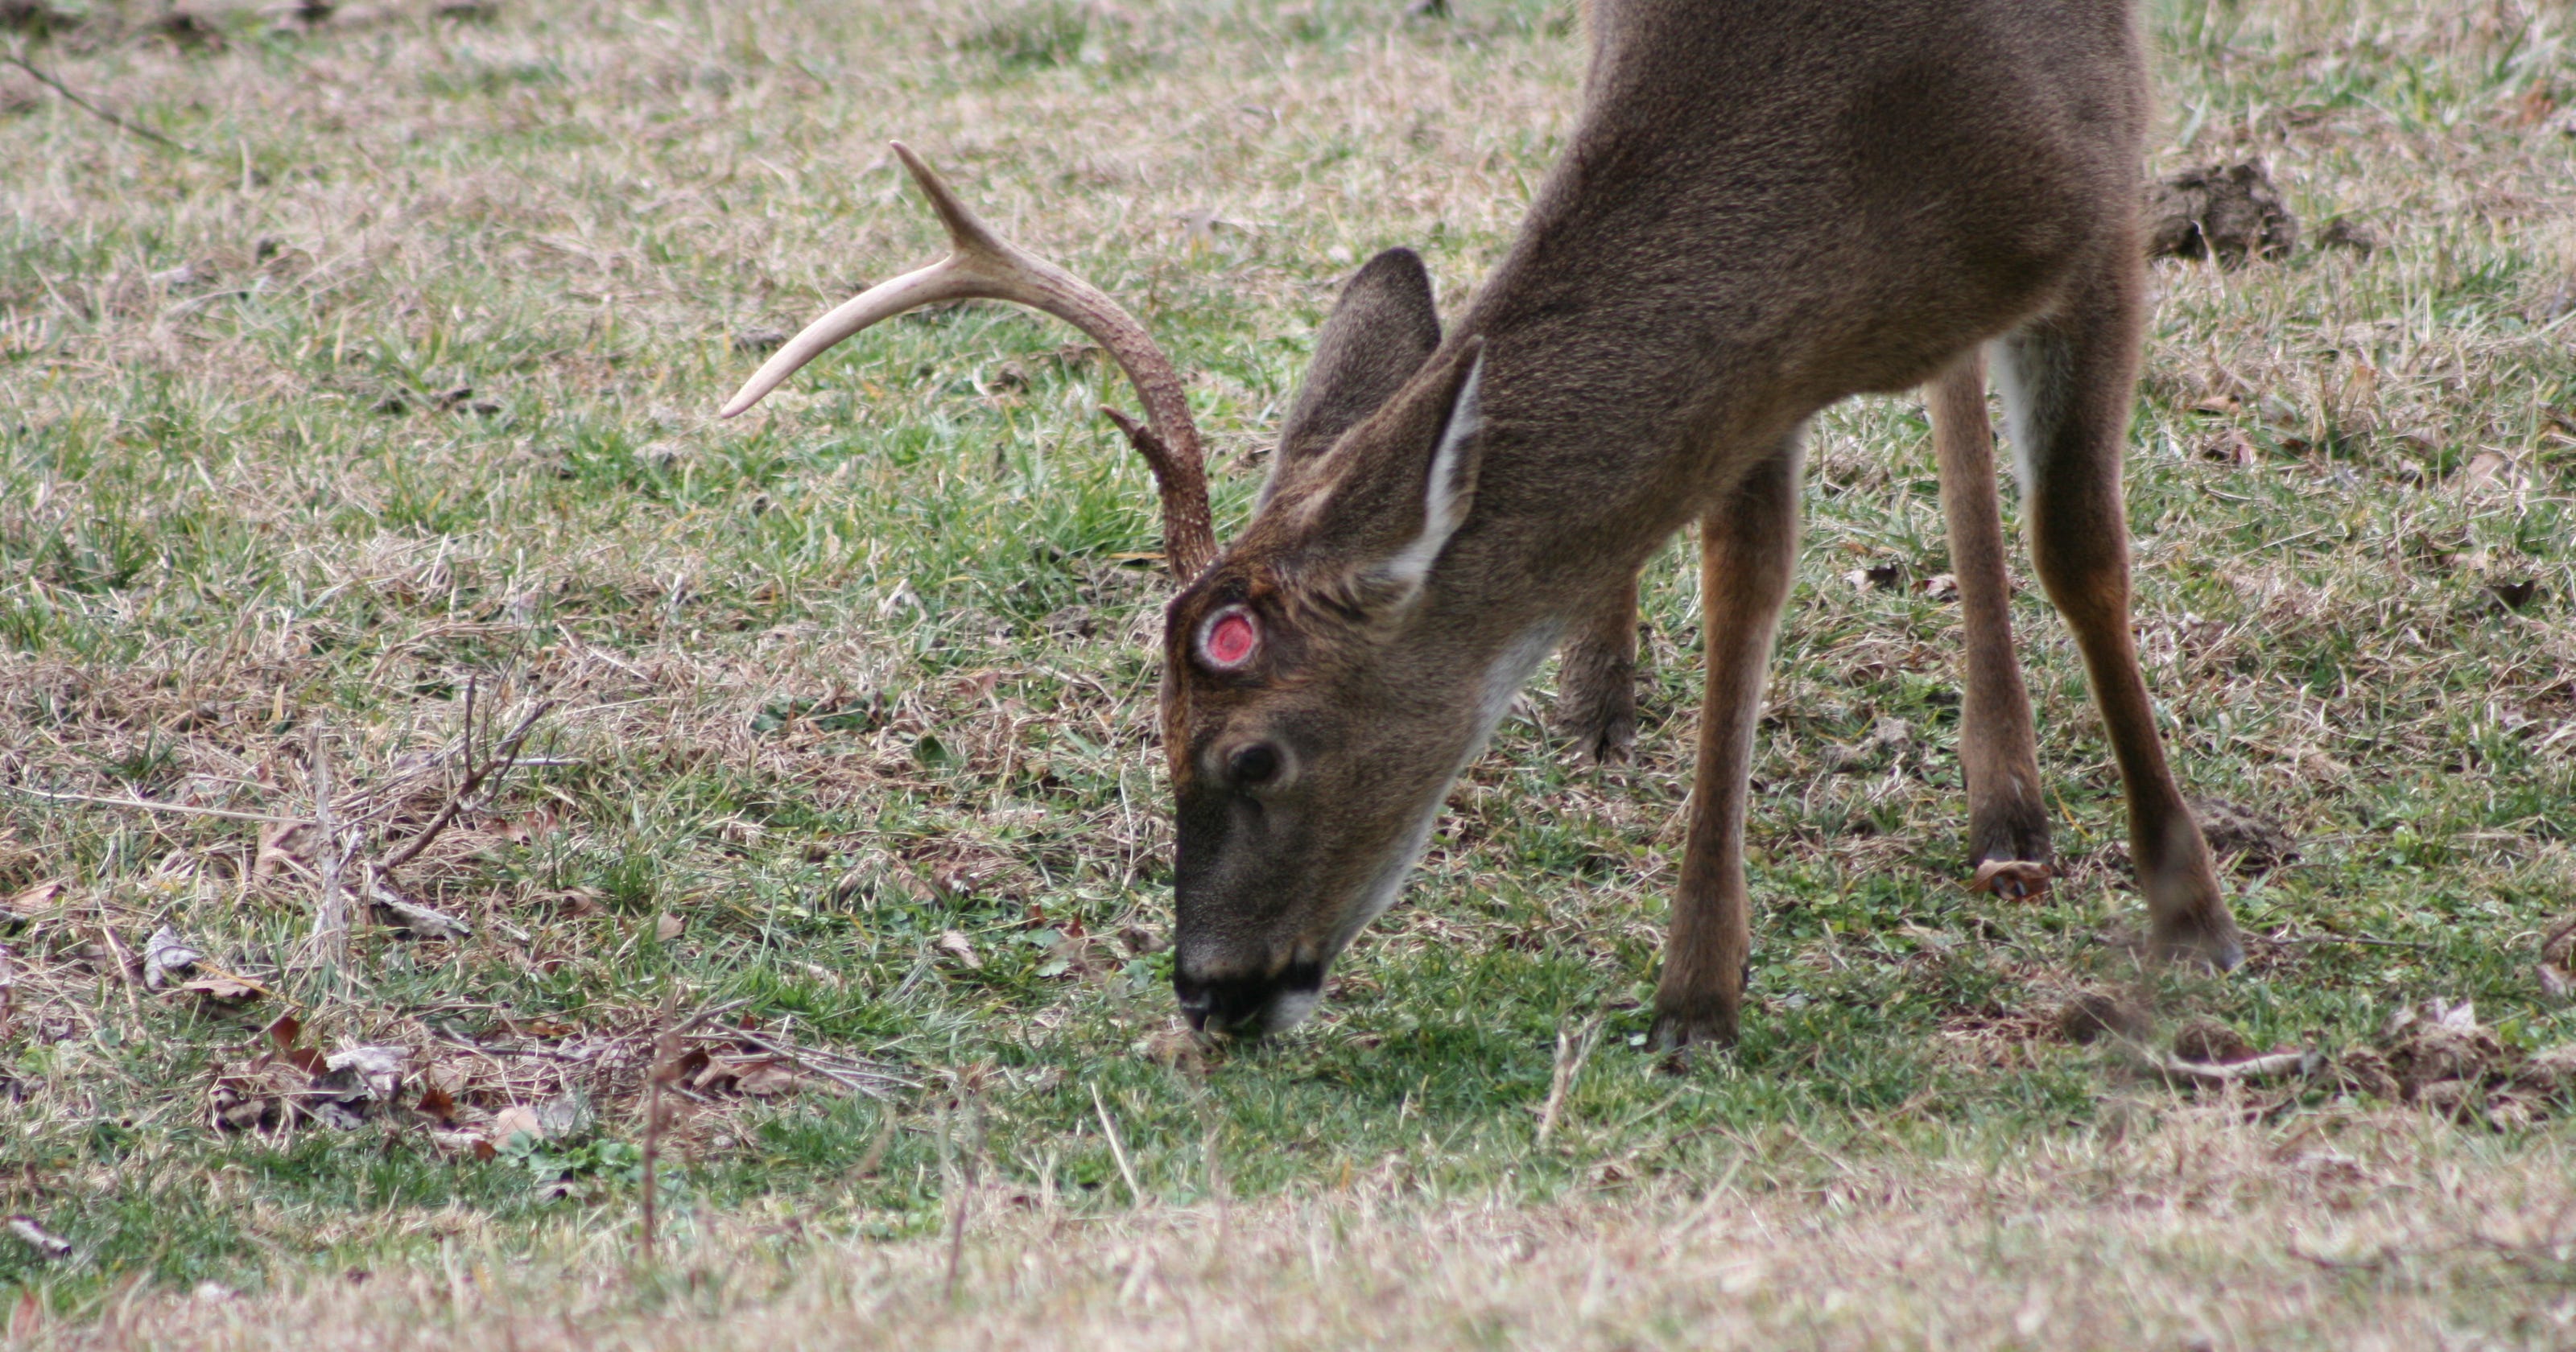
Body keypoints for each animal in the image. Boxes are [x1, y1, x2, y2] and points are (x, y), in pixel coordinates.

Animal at [726, 0, 2235, 1056]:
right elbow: (1742, 586)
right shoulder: (1764, 363)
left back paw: (2009, 804)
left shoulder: (2103, 202)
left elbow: (2079, 549)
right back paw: (1622, 692)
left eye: (1253, 755)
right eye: (1152, 736)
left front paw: (2193, 910)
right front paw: (1698, 990)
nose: (1209, 990)